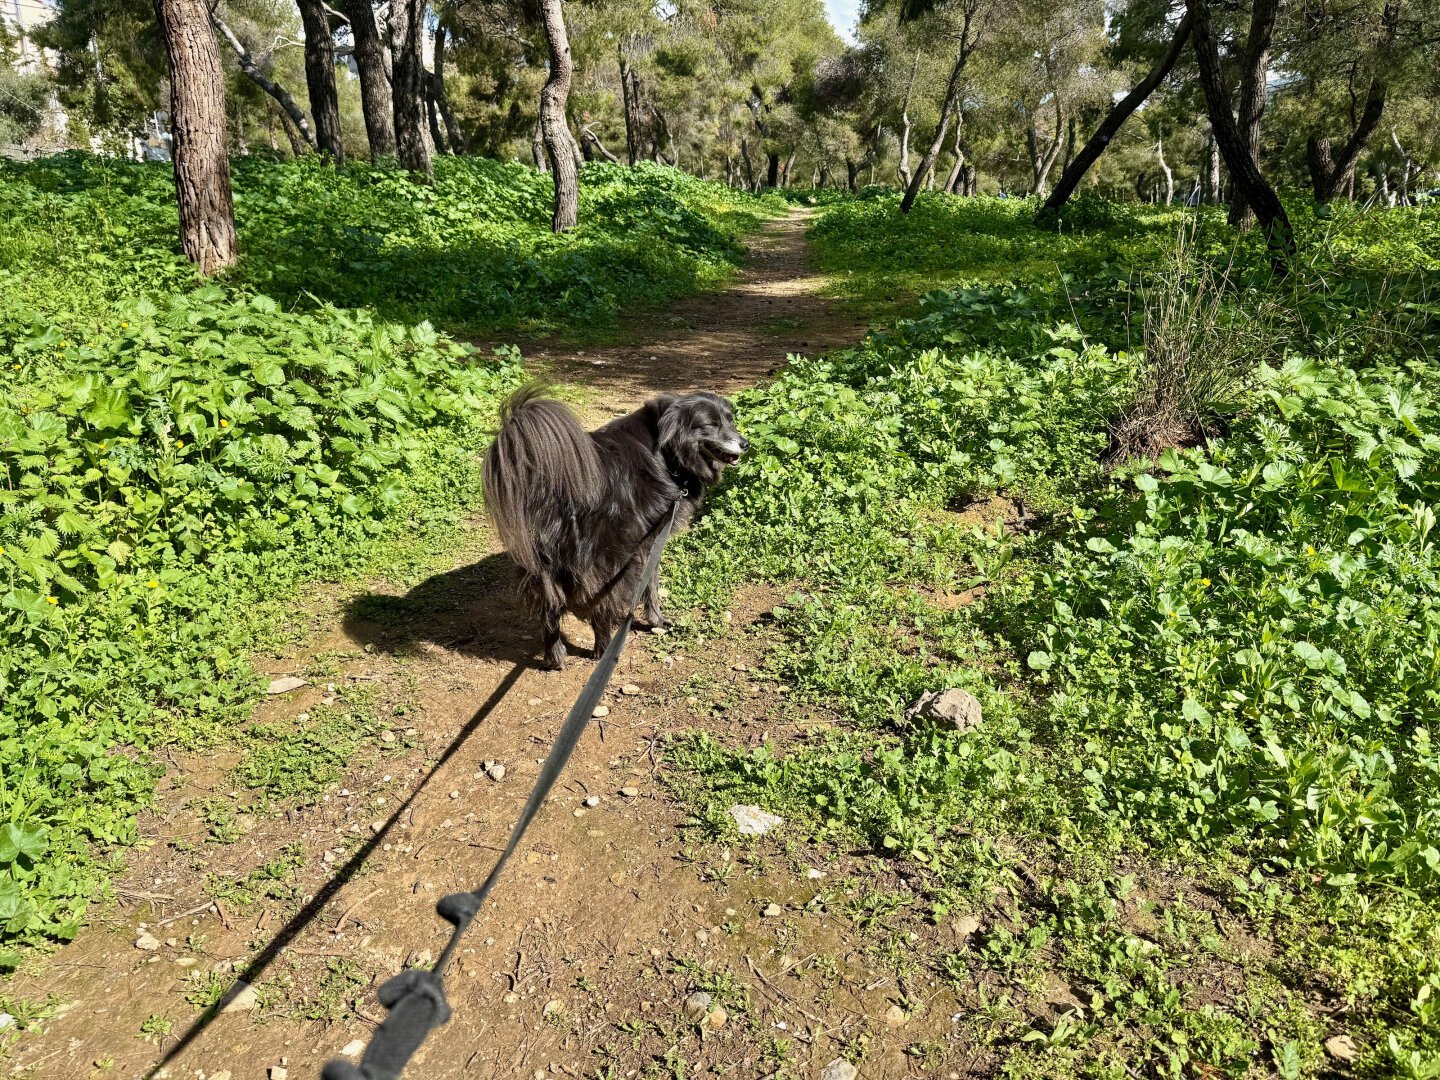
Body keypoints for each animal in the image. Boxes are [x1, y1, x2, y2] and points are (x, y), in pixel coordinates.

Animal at [483, 380, 748, 668]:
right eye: (710, 424)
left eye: (730, 419)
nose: (745, 443)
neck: (666, 452)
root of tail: (551, 487)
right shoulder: (650, 540)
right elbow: (651, 586)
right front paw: (657, 620)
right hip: (608, 560)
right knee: (599, 607)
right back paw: (604, 649)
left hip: (542, 564)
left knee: (549, 606)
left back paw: (555, 656)